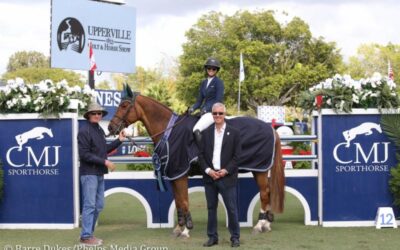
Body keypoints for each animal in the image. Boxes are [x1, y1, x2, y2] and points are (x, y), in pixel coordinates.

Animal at [108, 87, 286, 237]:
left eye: (124, 105)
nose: (111, 128)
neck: (170, 132)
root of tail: (270, 129)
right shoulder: (173, 175)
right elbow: (178, 201)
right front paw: (179, 227)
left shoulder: (180, 173)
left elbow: (184, 200)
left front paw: (186, 230)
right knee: (267, 192)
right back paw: (266, 224)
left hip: (259, 169)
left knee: (264, 193)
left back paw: (260, 225)